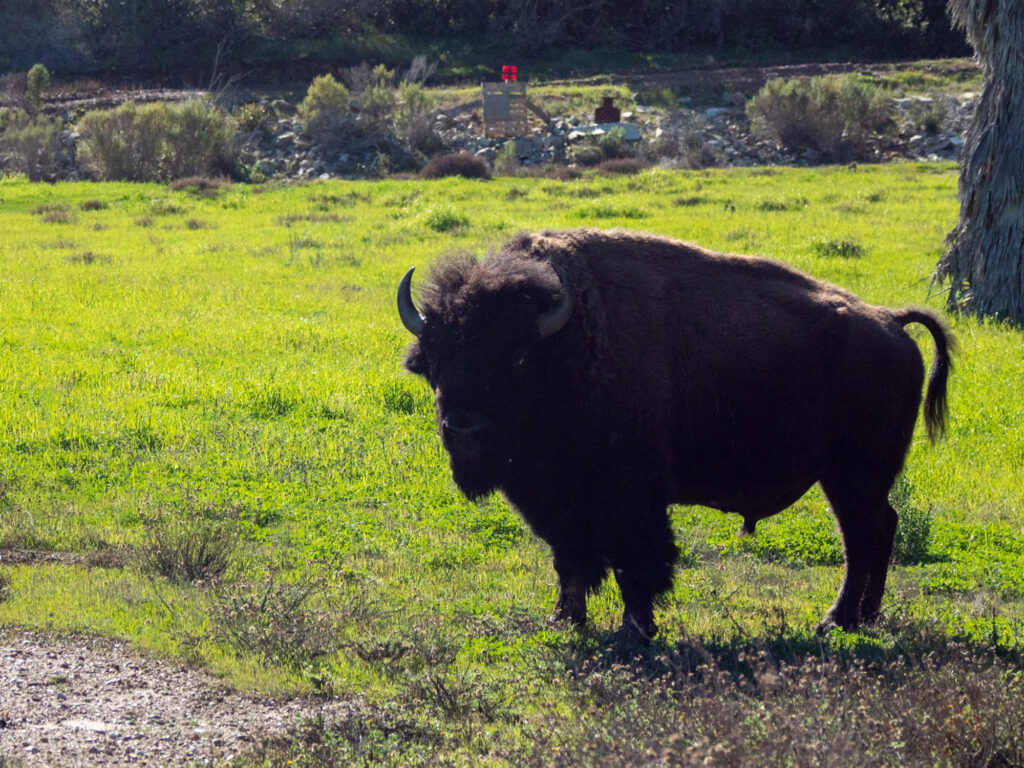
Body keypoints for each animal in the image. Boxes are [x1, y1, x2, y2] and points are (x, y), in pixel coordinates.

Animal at [393, 228, 950, 643]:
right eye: (434, 358)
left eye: (517, 358)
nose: (464, 429)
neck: (566, 347)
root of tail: (891, 323)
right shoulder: (553, 501)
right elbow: (569, 560)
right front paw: (563, 619)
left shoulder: (630, 499)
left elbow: (636, 561)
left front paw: (634, 630)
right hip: (857, 479)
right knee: (881, 529)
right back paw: (865, 618)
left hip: (852, 476)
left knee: (862, 537)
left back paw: (835, 622)